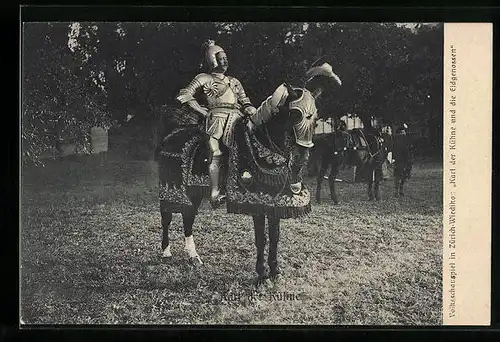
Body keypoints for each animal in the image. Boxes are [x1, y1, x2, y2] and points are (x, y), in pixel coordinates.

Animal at [154, 84, 314, 284]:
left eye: (315, 118)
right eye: (294, 114)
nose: (302, 159)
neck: (261, 145)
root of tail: (170, 135)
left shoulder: (273, 204)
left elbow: (275, 237)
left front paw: (275, 271)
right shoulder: (257, 204)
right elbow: (261, 238)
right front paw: (262, 275)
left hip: (193, 194)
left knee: (188, 218)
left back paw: (193, 257)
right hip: (170, 189)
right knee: (167, 218)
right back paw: (166, 252)